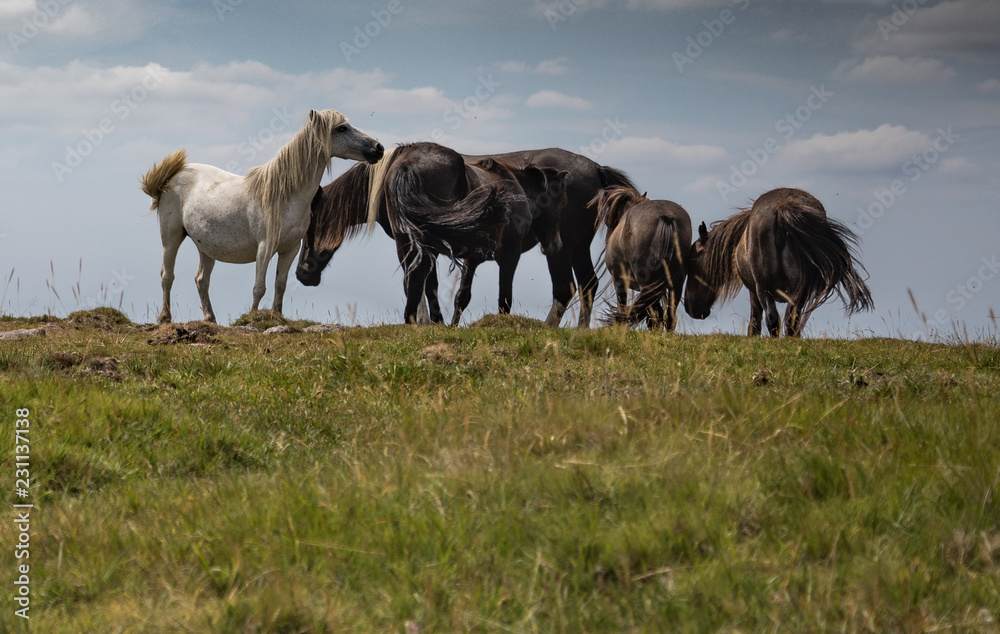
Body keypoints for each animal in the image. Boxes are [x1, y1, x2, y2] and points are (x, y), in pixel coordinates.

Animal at [140, 109, 383, 324]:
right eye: (341, 128)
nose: (378, 148)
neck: (286, 196)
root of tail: (174, 175)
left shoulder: (290, 249)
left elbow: (280, 285)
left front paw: (276, 316)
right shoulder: (265, 247)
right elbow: (259, 287)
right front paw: (252, 319)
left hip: (206, 247)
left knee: (202, 280)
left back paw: (210, 319)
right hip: (171, 237)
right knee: (167, 276)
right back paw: (165, 318)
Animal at [461, 149, 636, 327]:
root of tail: (596, 168)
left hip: (561, 250)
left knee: (564, 288)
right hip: (579, 247)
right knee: (588, 283)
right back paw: (581, 328)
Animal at [592, 186, 691, 331]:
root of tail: (666, 216)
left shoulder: (619, 281)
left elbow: (623, 306)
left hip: (646, 284)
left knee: (656, 315)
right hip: (675, 283)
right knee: (670, 315)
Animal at [683, 187, 873, 337]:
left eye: (692, 262)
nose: (690, 308)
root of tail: (782, 208)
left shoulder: (754, 290)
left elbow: (755, 322)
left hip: (764, 288)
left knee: (773, 318)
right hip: (799, 288)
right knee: (791, 318)